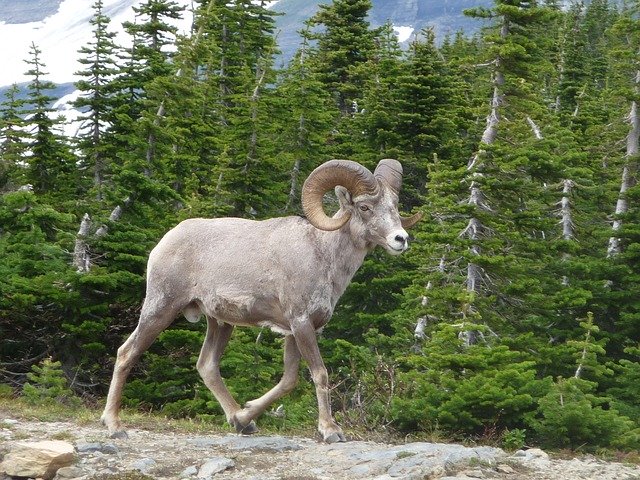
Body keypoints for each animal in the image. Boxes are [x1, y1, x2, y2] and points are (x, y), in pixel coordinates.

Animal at [101, 158, 420, 442]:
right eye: (364, 207)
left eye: (394, 206)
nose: (400, 239)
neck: (321, 255)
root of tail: (164, 242)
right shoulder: (301, 323)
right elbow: (319, 373)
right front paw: (330, 431)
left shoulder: (295, 331)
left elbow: (289, 380)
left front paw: (245, 416)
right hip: (161, 308)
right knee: (127, 353)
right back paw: (114, 426)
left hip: (220, 323)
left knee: (207, 365)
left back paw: (241, 422)